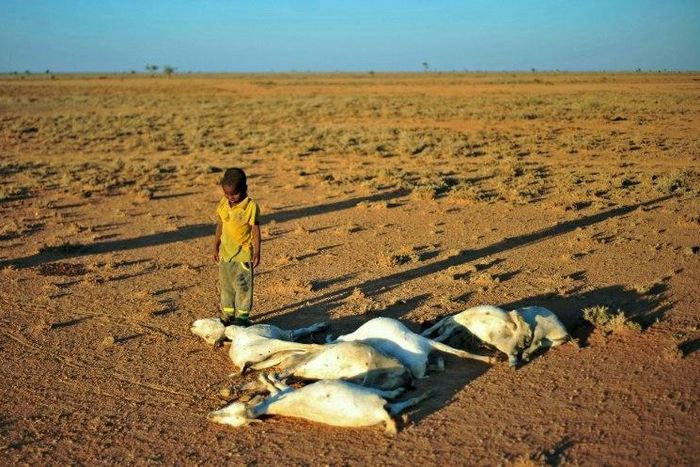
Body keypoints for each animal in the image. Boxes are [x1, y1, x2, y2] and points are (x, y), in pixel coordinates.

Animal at [208, 374, 431, 435]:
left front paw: (265, 376)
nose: (210, 417)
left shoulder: (283, 393)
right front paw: (267, 377)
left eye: (231, 412)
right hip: (372, 397)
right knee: (393, 399)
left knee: (398, 402)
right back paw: (415, 394)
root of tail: (378, 414)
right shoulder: (285, 393)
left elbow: (275, 385)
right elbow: (276, 385)